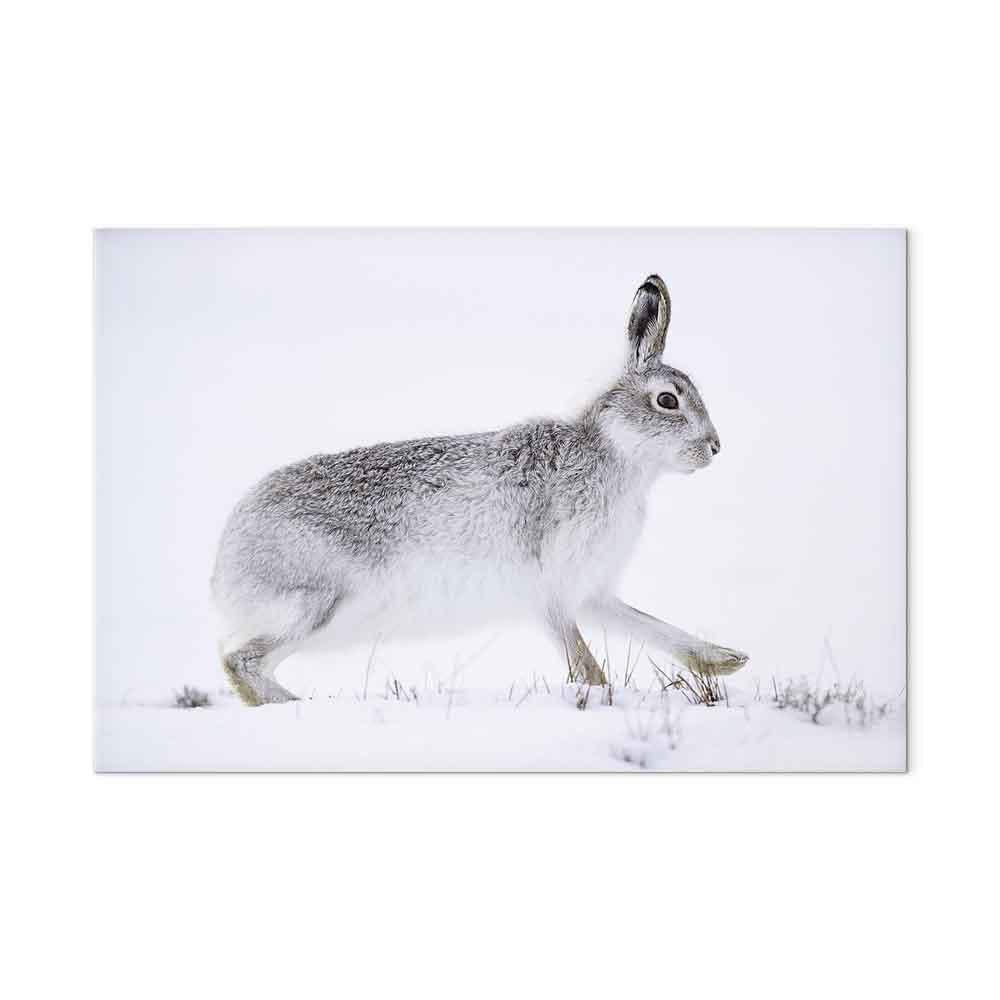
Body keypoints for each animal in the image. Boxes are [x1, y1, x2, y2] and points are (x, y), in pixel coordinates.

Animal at [212, 274, 749, 705]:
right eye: (668, 401)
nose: (715, 447)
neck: (615, 453)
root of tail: (226, 563)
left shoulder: (590, 589)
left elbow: (648, 624)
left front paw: (725, 661)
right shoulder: (552, 587)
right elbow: (583, 660)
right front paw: (601, 696)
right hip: (319, 603)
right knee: (240, 662)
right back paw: (297, 706)